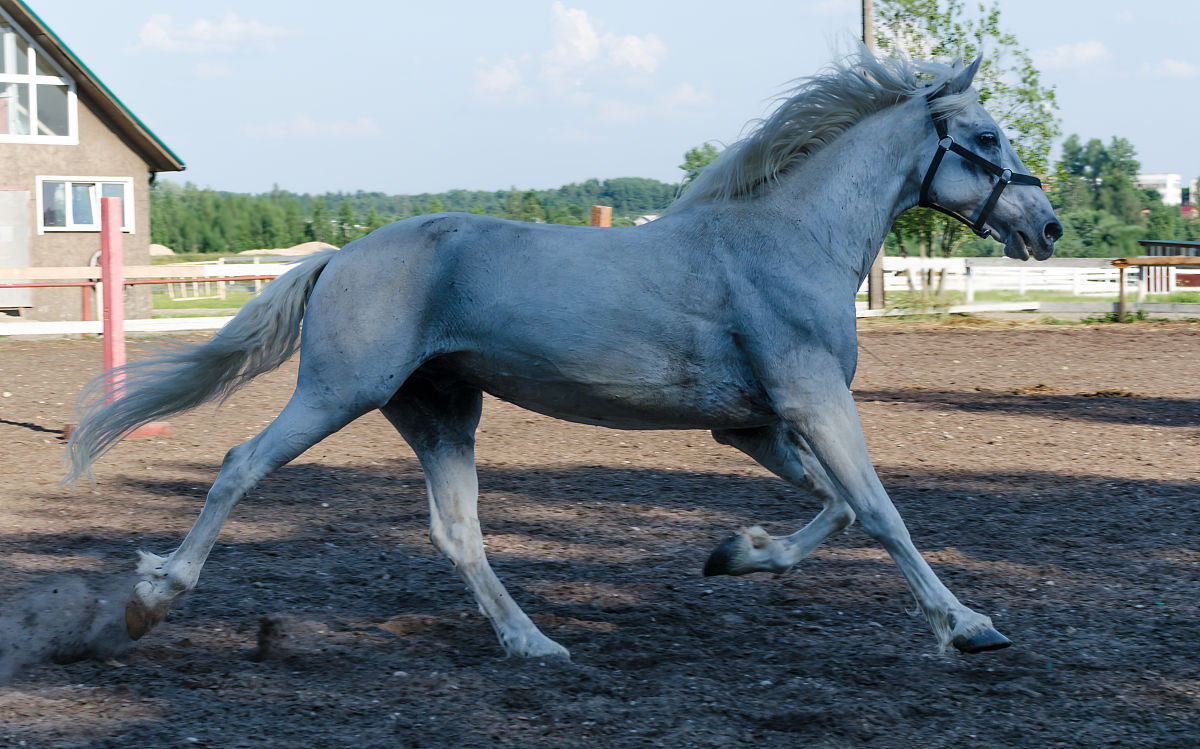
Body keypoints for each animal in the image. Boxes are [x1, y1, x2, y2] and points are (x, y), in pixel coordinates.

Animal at [67, 50, 1060, 661]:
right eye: (986, 138)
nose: (1047, 227)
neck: (789, 240)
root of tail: (339, 256)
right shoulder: (814, 403)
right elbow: (882, 512)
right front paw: (968, 624)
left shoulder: (756, 427)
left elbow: (840, 508)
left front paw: (735, 553)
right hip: (338, 391)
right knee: (241, 464)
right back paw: (153, 596)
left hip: (441, 411)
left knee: (458, 531)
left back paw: (533, 642)